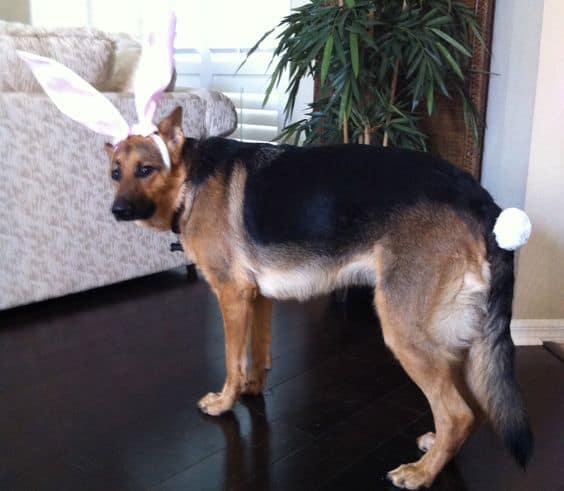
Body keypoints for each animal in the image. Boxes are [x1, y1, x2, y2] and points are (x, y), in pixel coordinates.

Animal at [106, 108, 532, 491]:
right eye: (115, 173)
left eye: (145, 170)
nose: (117, 211)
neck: (190, 178)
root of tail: (482, 201)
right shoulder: (257, 297)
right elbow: (258, 353)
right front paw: (252, 388)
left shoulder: (232, 295)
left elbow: (231, 359)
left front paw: (226, 401)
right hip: (454, 339)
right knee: (473, 410)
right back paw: (437, 451)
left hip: (405, 332)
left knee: (458, 414)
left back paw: (421, 473)